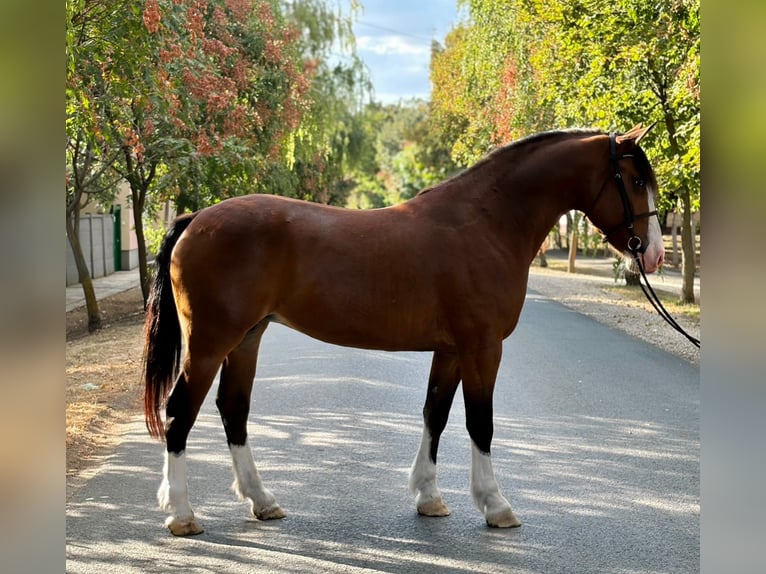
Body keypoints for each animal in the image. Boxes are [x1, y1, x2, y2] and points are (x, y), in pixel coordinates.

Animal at [143, 125, 665, 536]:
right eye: (636, 180)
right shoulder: (482, 348)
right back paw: (182, 515)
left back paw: (262, 501)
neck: (485, 223)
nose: (655, 254)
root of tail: (196, 219)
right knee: (179, 412)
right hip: (210, 344)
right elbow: (480, 423)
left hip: (248, 338)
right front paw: (496, 505)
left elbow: (436, 414)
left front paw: (429, 498)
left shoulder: (452, 350)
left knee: (233, 410)